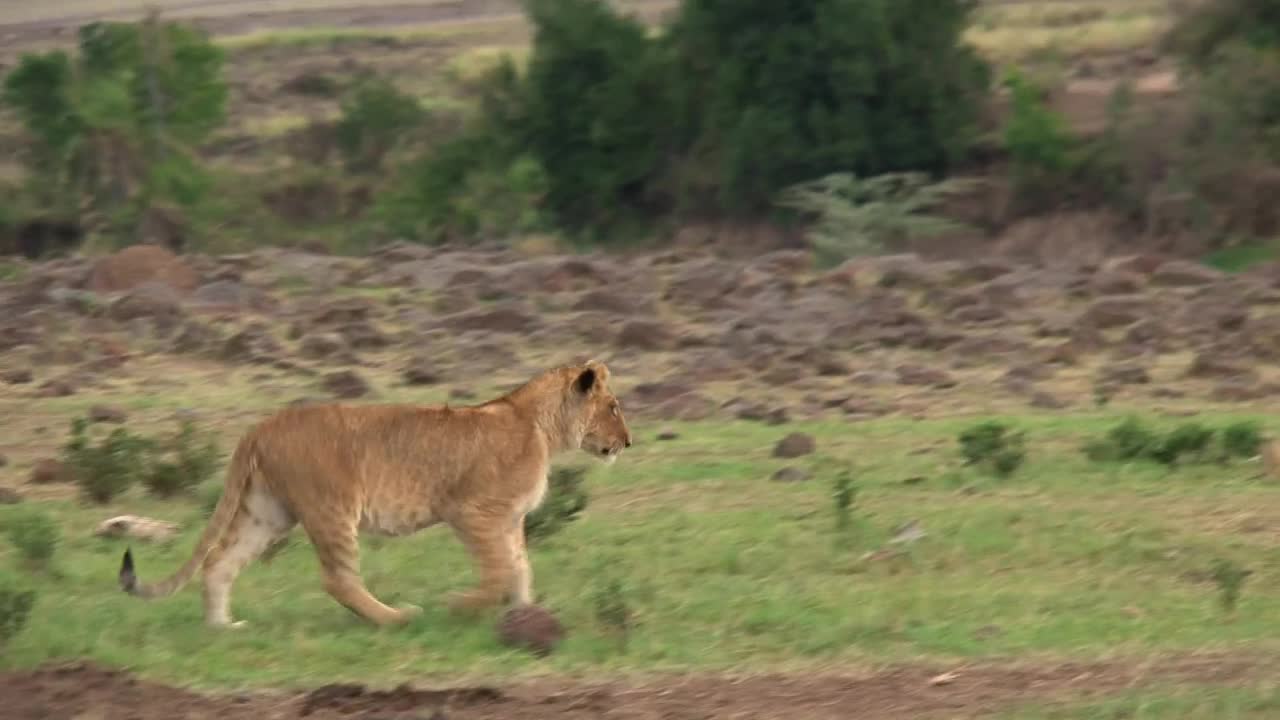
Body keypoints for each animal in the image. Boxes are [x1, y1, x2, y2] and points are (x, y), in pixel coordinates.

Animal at [118, 359, 632, 629]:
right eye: (613, 407)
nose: (628, 442)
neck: (541, 427)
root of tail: (259, 427)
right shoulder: (473, 512)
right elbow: (500, 571)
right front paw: (461, 608)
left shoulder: (509, 520)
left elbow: (521, 569)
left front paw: (527, 619)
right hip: (332, 507)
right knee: (338, 580)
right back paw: (398, 618)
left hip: (269, 513)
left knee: (219, 562)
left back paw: (224, 628)